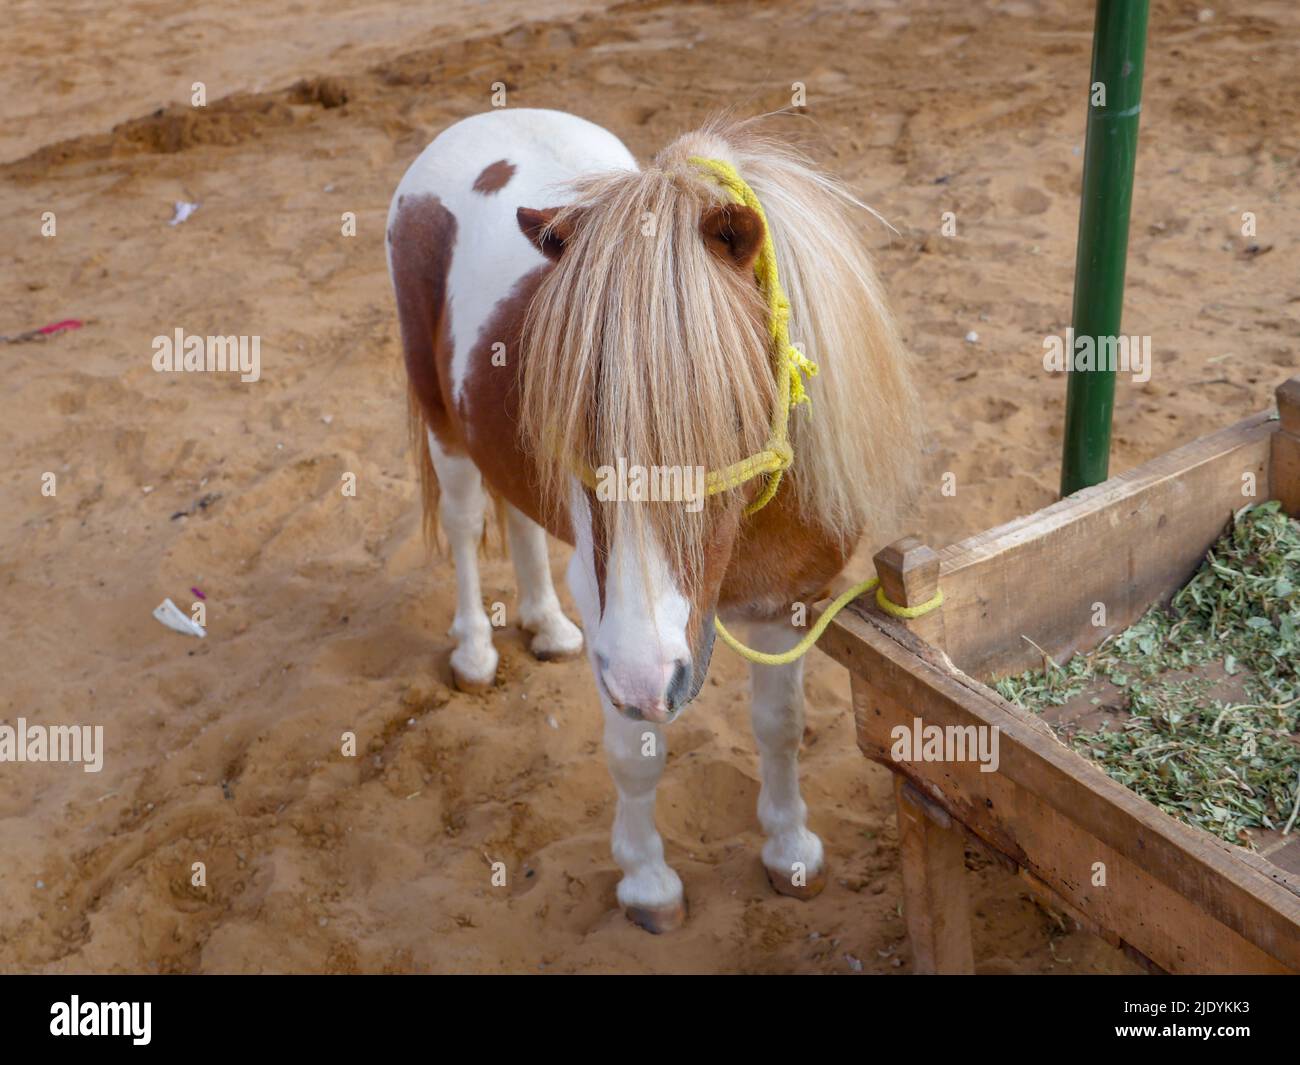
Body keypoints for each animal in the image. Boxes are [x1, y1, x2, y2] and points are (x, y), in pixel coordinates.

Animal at [379, 104, 920, 931]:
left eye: (732, 409)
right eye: (578, 417)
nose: (646, 671)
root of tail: (482, 120)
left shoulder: (789, 603)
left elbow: (782, 727)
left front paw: (790, 849)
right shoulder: (616, 622)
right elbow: (637, 753)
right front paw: (646, 882)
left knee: (522, 522)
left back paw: (545, 625)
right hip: (445, 426)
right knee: (471, 528)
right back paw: (475, 652)